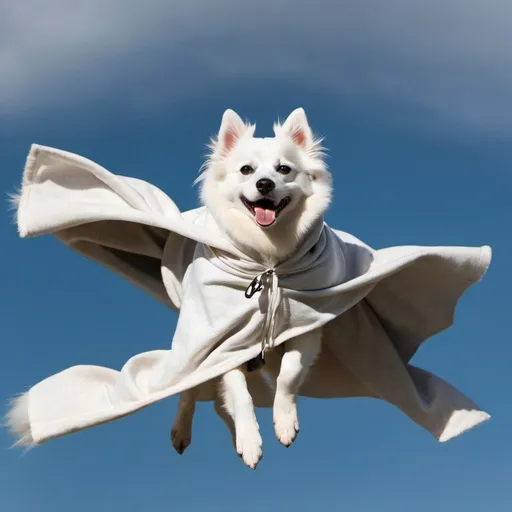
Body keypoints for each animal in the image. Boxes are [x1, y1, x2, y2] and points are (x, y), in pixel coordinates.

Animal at [170, 108, 334, 468]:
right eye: (247, 169)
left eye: (284, 169)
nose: (264, 183)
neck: (266, 258)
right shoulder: (223, 345)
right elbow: (240, 395)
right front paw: (249, 441)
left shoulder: (307, 331)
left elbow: (288, 375)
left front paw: (284, 422)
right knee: (188, 394)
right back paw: (181, 431)